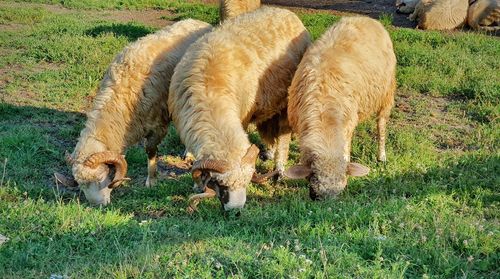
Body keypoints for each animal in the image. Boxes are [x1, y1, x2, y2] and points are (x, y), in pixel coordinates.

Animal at [55, 18, 214, 205]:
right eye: (81, 185)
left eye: (101, 178)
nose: (97, 206)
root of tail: (199, 22)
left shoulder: (158, 124)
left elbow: (150, 151)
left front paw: (151, 180)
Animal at [168, 6, 310, 211]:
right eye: (221, 184)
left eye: (247, 183)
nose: (235, 212)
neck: (210, 93)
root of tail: (285, 12)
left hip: (286, 100)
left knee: (283, 137)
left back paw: (280, 170)